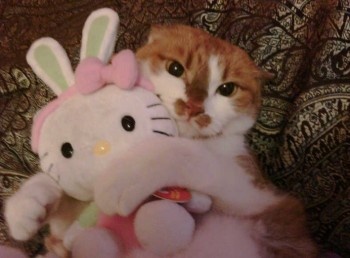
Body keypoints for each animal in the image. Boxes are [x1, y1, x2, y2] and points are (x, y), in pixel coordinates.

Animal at [93, 24, 320, 258]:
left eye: (227, 89)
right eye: (175, 68)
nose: (194, 107)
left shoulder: (257, 195)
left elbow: (187, 153)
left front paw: (125, 175)